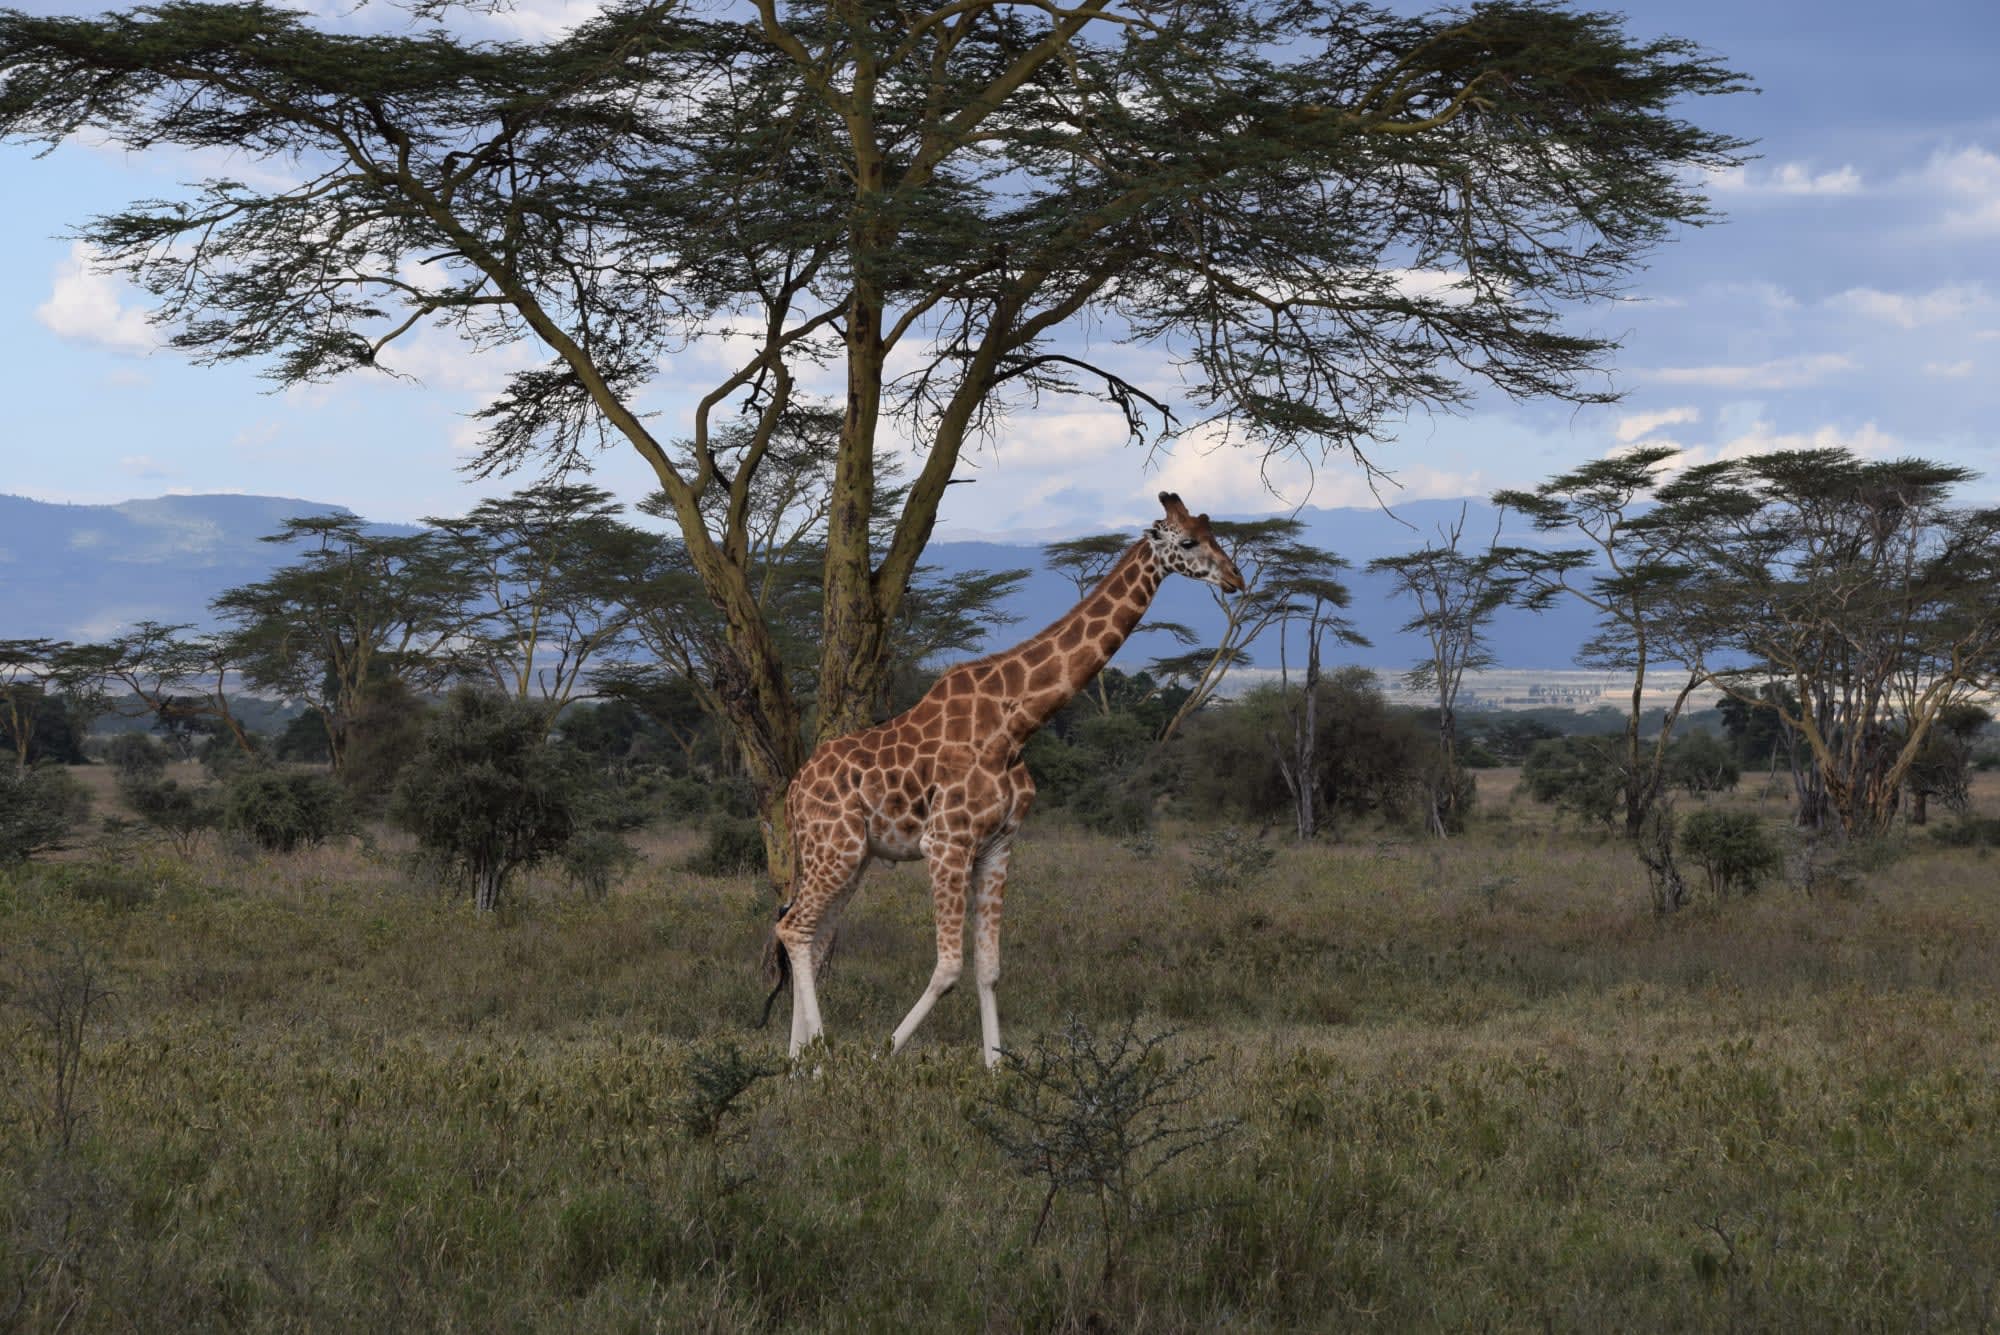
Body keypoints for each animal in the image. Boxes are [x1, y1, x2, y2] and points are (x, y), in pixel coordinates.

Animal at [765, 491, 1246, 1067]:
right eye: (1190, 541)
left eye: (1216, 533)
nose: (1236, 578)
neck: (1017, 723)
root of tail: (794, 792)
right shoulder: (946, 843)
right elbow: (949, 967)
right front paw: (883, 1056)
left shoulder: (998, 844)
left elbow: (989, 969)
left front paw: (996, 1069)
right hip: (835, 848)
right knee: (794, 927)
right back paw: (820, 1059)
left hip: (849, 855)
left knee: (811, 937)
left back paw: (798, 1064)